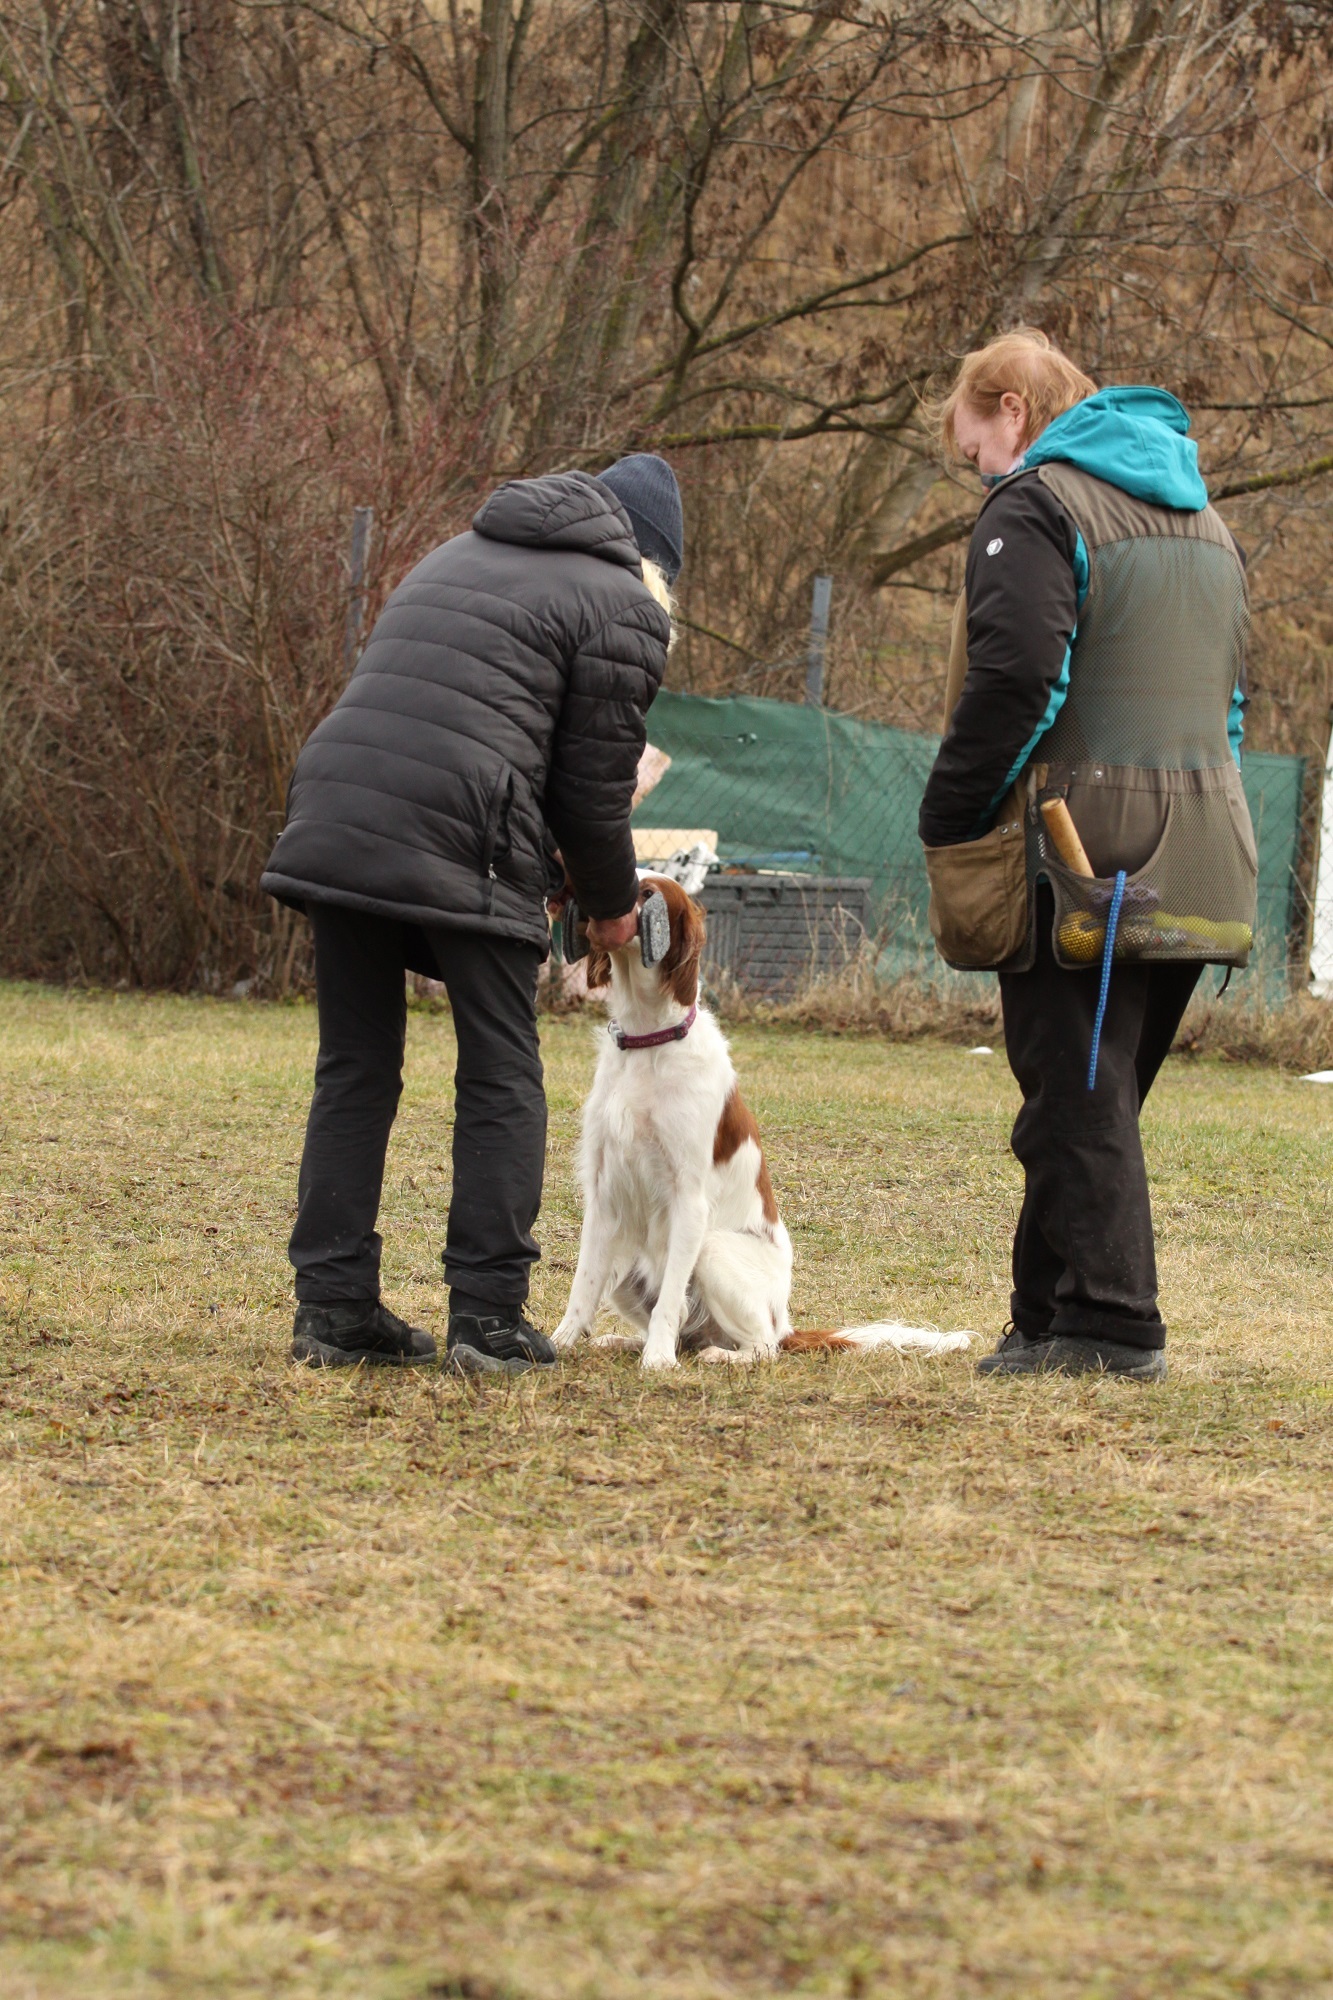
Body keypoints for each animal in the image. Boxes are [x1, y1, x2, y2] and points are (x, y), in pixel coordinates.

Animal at [552, 876, 973, 1370]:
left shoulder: (688, 1197)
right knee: (686, 1328)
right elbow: (582, 1287)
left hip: (713, 1250)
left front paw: (656, 1362)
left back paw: (716, 1355)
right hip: (630, 1268)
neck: (648, 1040)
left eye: (646, 893)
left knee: (760, 1346)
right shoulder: (602, 1191)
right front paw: (560, 1342)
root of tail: (785, 1321)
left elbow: (669, 1302)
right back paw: (623, 1341)